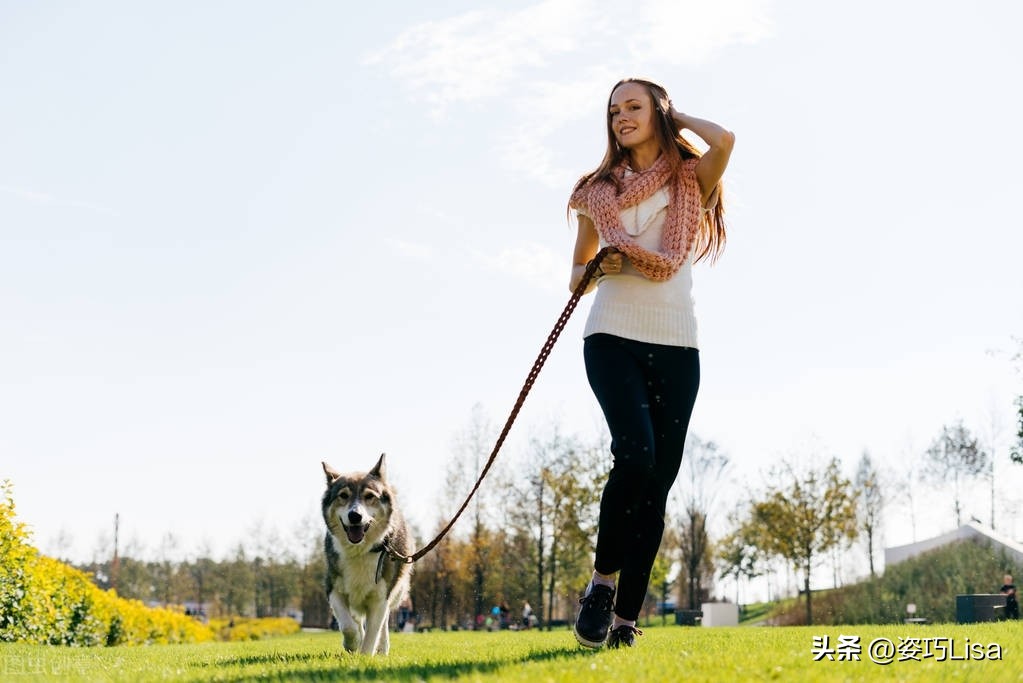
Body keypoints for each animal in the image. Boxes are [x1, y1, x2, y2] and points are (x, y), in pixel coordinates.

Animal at [323, 449, 411, 654]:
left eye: (369, 496)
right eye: (343, 495)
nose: (355, 516)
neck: (360, 550)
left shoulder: (380, 596)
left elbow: (373, 632)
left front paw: (365, 655)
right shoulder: (333, 587)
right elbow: (348, 625)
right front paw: (352, 643)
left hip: (397, 591)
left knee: (384, 623)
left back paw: (383, 648)